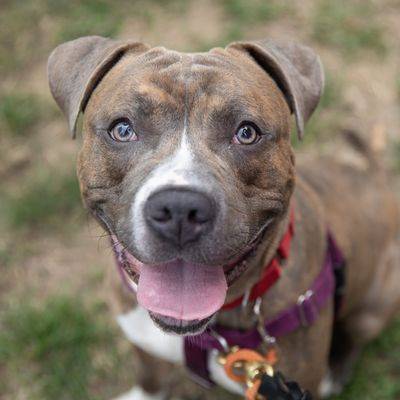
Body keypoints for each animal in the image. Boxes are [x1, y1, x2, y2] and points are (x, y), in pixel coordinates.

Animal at [47, 36, 400, 398]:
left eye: (246, 133)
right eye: (122, 129)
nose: (179, 207)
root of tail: (376, 180)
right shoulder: (141, 340)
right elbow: (150, 377)